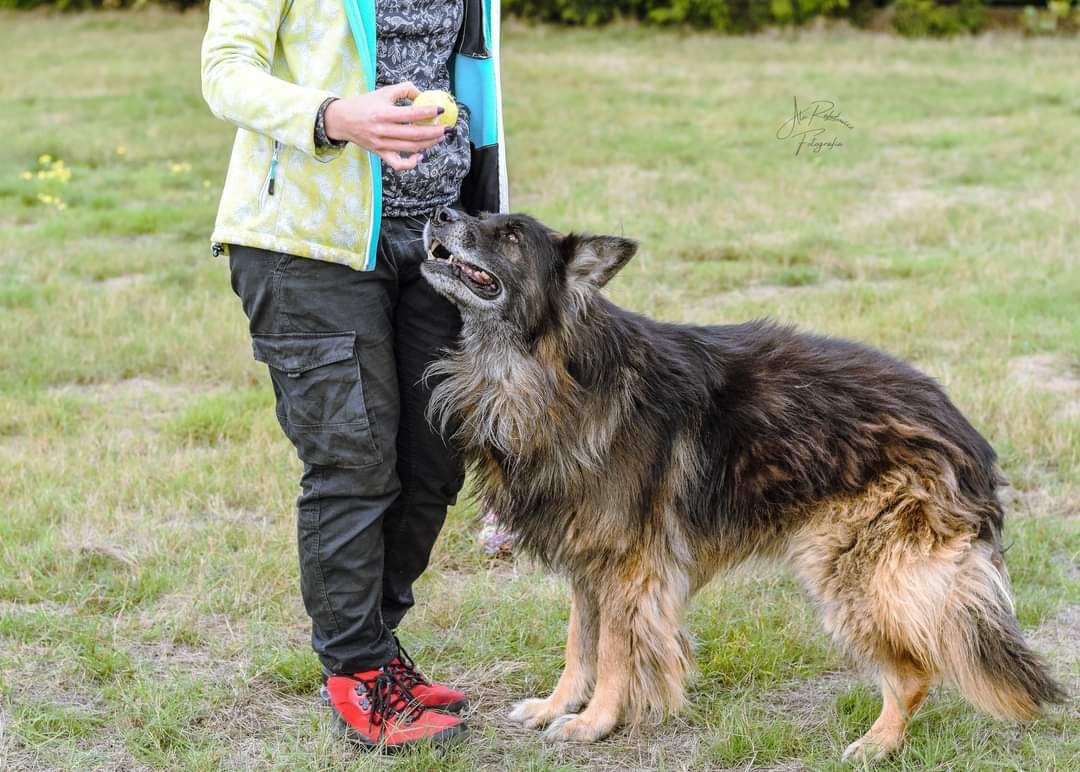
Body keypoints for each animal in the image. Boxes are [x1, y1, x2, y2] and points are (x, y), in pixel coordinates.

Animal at [414, 205, 1062, 760]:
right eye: (482, 217)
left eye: (509, 235)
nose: (440, 214)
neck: (547, 368)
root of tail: (962, 428)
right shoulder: (588, 563)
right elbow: (580, 645)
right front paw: (557, 706)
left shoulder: (629, 567)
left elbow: (617, 653)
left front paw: (595, 723)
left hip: (850, 568)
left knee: (914, 668)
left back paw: (879, 743)